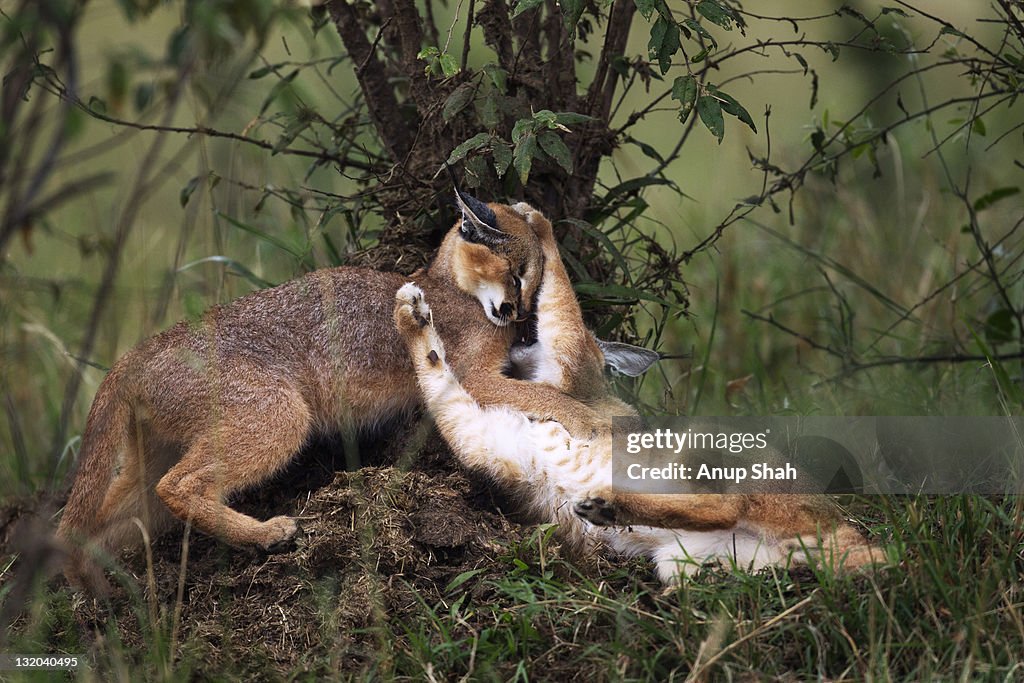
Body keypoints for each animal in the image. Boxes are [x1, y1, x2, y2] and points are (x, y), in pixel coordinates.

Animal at [58, 191, 598, 593]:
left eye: (531, 282)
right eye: (515, 275)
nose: (518, 314)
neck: (443, 282)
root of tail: (139, 350)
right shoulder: (474, 377)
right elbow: (551, 397)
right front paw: (589, 420)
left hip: (153, 459)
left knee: (88, 525)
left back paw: (105, 599)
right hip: (279, 415)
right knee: (178, 485)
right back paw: (267, 534)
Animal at [393, 201, 880, 581]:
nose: (518, 319)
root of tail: (839, 521)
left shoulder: (571, 354)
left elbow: (563, 305)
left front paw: (536, 219)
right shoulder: (486, 436)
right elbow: (438, 377)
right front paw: (409, 316)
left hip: (709, 441)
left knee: (725, 503)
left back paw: (609, 505)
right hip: (691, 561)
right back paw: (609, 512)